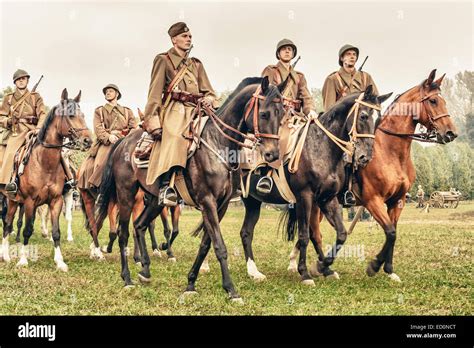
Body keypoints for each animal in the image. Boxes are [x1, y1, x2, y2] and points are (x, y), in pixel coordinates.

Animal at [0, 89, 91, 270]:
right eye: (70, 115)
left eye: (83, 115)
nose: (88, 141)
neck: (44, 163)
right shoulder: (29, 201)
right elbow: (27, 229)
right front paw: (23, 259)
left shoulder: (56, 201)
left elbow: (56, 232)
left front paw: (60, 261)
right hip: (11, 200)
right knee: (7, 223)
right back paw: (5, 255)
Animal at [96, 77, 286, 302]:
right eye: (264, 113)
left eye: (282, 114)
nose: (273, 154)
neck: (217, 143)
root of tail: (122, 142)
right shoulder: (207, 202)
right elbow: (219, 246)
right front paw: (231, 290)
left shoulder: (220, 206)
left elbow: (205, 245)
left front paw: (191, 283)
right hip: (126, 194)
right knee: (123, 232)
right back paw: (127, 279)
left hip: (155, 200)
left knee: (140, 226)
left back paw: (145, 271)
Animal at [239, 85, 390, 284]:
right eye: (364, 116)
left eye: (378, 119)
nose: (365, 157)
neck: (322, 149)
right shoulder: (305, 197)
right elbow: (304, 236)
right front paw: (305, 273)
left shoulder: (327, 199)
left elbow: (340, 234)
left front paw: (323, 267)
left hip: (253, 202)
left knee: (246, 233)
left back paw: (253, 272)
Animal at [288, 68, 460, 282]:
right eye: (434, 101)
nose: (451, 133)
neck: (391, 153)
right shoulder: (373, 201)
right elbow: (390, 232)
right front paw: (375, 265)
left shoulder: (398, 201)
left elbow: (393, 232)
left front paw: (389, 269)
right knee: (313, 233)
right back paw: (308, 265)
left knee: (313, 233)